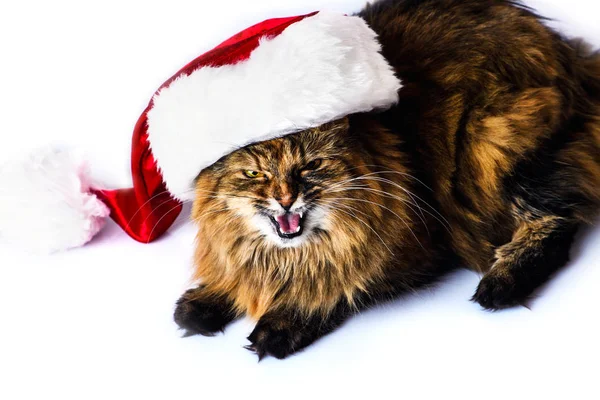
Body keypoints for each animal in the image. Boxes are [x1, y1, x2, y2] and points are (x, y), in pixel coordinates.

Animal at [172, 0, 600, 360]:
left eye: (311, 166)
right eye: (254, 174)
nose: (285, 198)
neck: (290, 257)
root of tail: (569, 53)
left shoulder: (417, 249)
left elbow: (342, 284)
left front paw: (284, 319)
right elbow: (234, 274)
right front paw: (210, 298)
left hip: (493, 144)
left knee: (558, 219)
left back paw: (500, 285)